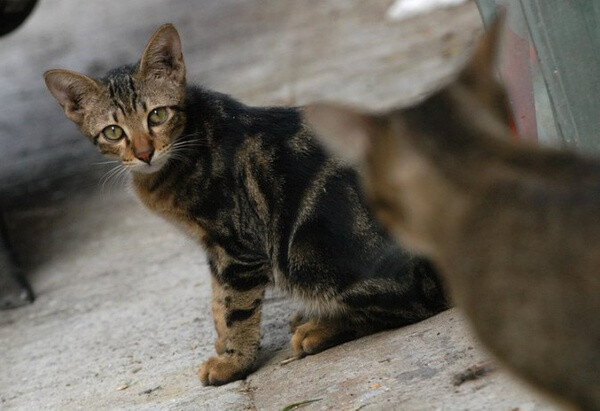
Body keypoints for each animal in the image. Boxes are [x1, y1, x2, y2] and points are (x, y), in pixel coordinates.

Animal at [44, 25, 448, 386]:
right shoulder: (214, 246)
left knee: (415, 302)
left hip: (302, 253)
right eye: (113, 132)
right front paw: (224, 341)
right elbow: (217, 299)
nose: (144, 153)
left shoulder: (237, 246)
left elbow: (236, 306)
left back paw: (318, 328)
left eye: (157, 115)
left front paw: (233, 361)